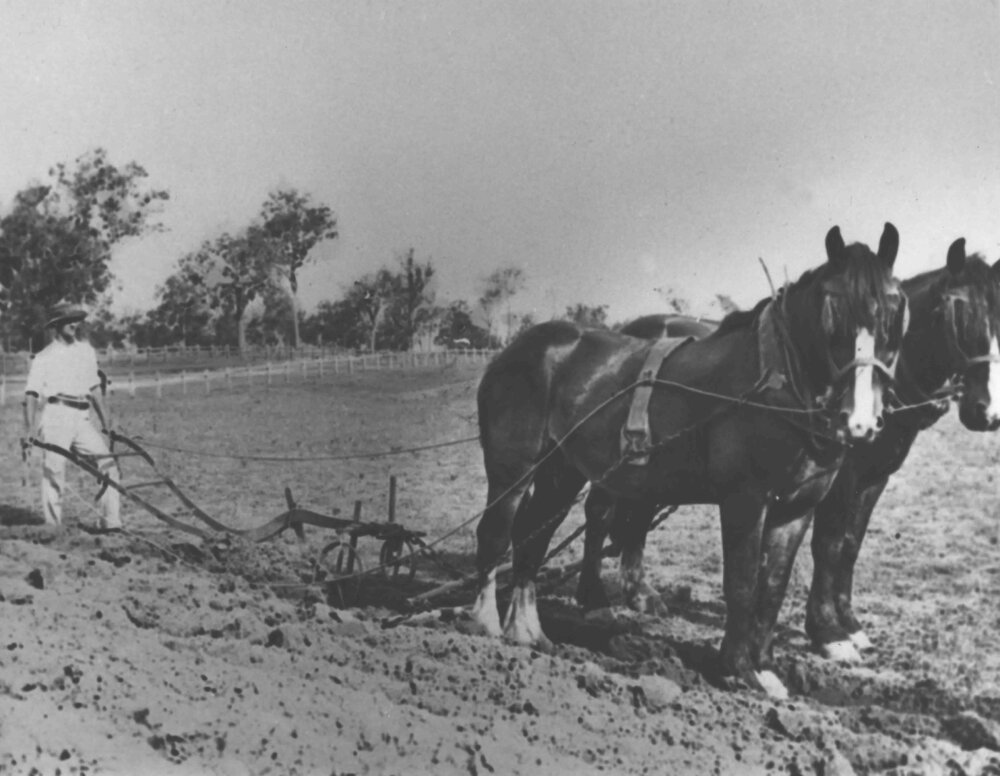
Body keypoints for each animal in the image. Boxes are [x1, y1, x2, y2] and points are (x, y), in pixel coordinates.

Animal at [472, 223, 908, 697]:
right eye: (832, 307)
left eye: (895, 310)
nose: (860, 421)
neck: (774, 380)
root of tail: (517, 349)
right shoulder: (744, 500)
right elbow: (741, 583)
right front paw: (738, 668)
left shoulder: (797, 508)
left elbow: (772, 586)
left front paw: (766, 667)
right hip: (513, 470)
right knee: (495, 534)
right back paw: (486, 626)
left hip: (560, 473)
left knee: (532, 538)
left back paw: (526, 632)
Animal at [806, 238, 1000, 662]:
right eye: (951, 312)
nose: (989, 412)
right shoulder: (842, 475)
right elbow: (828, 543)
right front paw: (826, 631)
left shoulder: (874, 478)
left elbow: (850, 544)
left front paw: (850, 623)